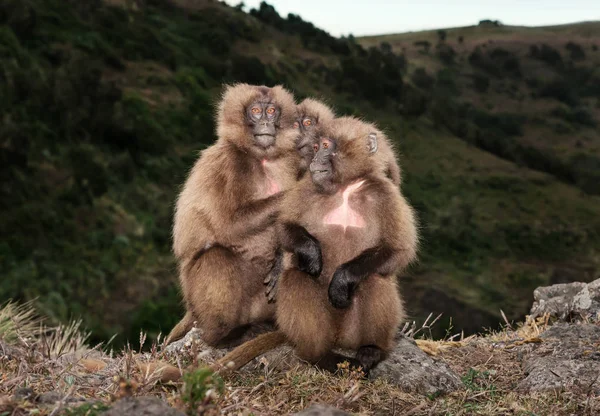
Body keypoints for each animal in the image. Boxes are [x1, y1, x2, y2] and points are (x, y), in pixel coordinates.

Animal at [166, 83, 300, 346]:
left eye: (271, 111)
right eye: (256, 111)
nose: (266, 124)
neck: (262, 158)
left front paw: (280, 259)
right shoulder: (229, 164)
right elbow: (229, 225)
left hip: (260, 302)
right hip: (198, 295)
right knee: (217, 257)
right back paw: (222, 335)